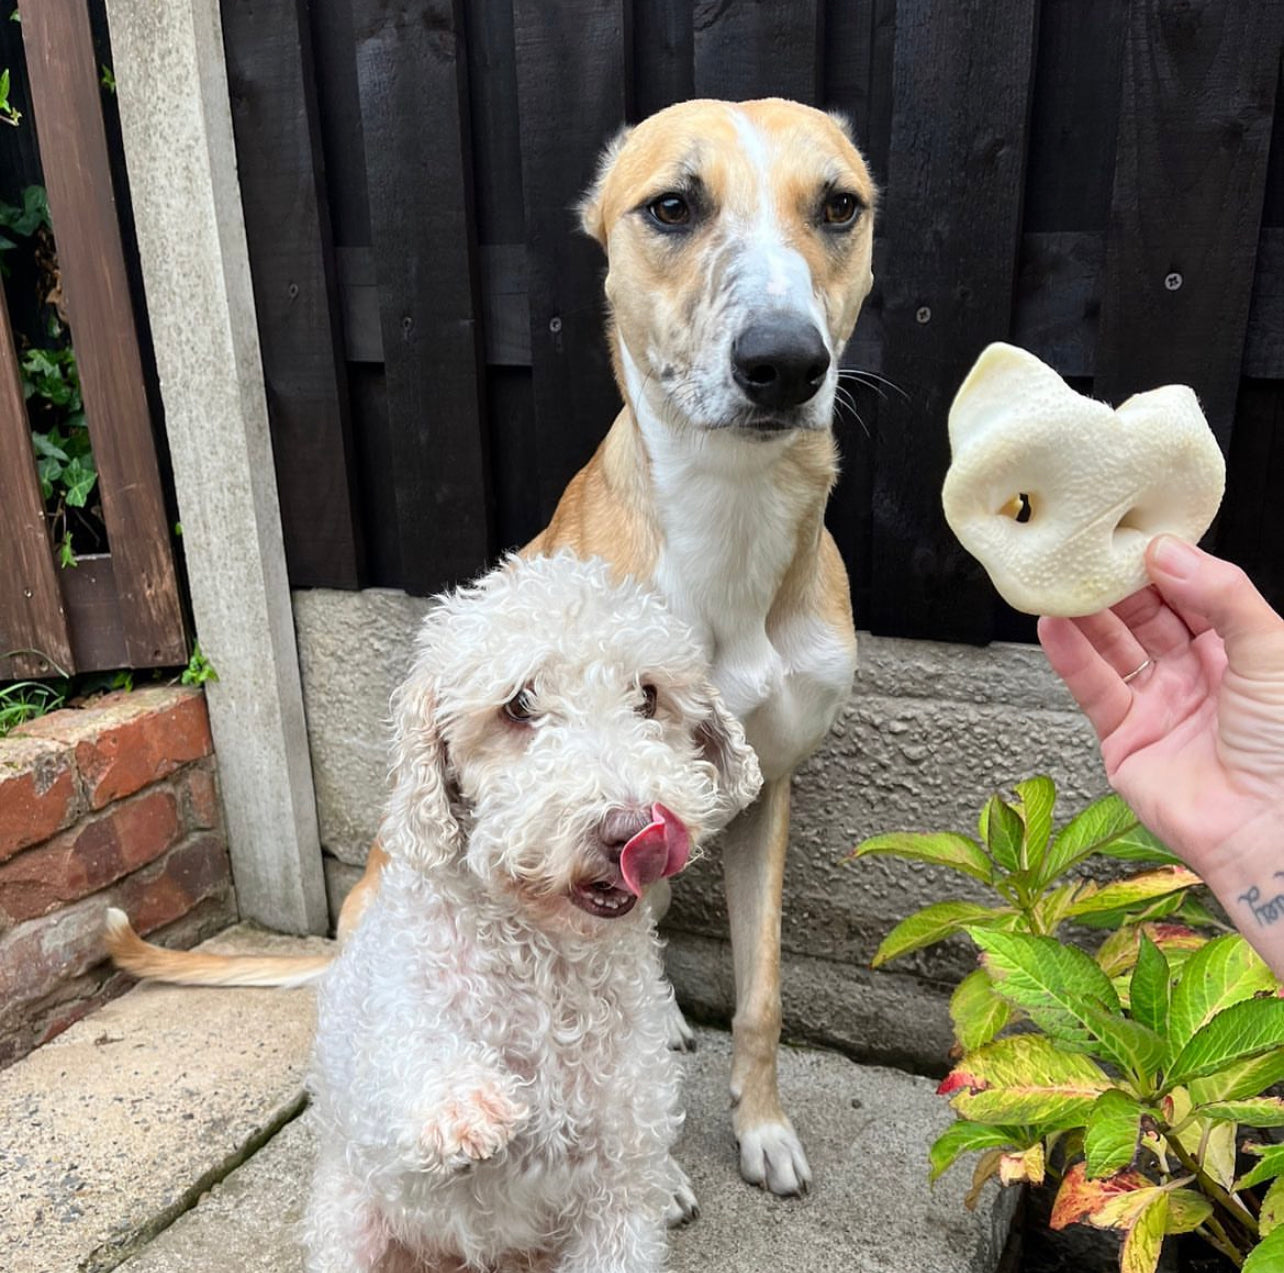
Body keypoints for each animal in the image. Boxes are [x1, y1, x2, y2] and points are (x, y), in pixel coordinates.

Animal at [110, 96, 878, 1192]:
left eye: (840, 205)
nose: (784, 363)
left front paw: (761, 1125)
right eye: (673, 206)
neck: (731, 518)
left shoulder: (766, 786)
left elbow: (762, 992)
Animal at [304, 554, 754, 1273]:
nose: (633, 829)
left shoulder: (618, 1194)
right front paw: (464, 1102)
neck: (546, 970)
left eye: (648, 696)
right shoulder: (377, 1030)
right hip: (350, 1223)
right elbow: (403, 1045)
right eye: (518, 704)